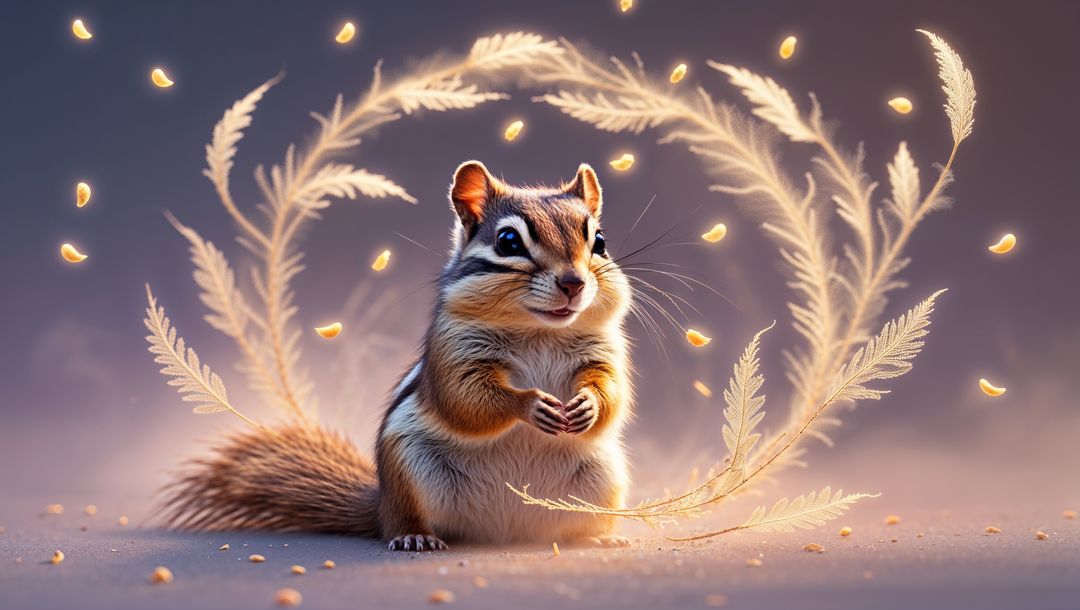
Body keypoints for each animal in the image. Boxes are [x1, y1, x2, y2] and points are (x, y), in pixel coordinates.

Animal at [162, 161, 634, 551]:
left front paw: (588, 406)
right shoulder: (453, 354)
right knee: (408, 519)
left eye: (600, 241)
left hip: (604, 476)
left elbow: (612, 393)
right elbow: (467, 401)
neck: (539, 331)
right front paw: (531, 403)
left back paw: (596, 536)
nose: (573, 283)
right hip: (410, 468)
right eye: (507, 241)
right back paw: (415, 537)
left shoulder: (604, 353)